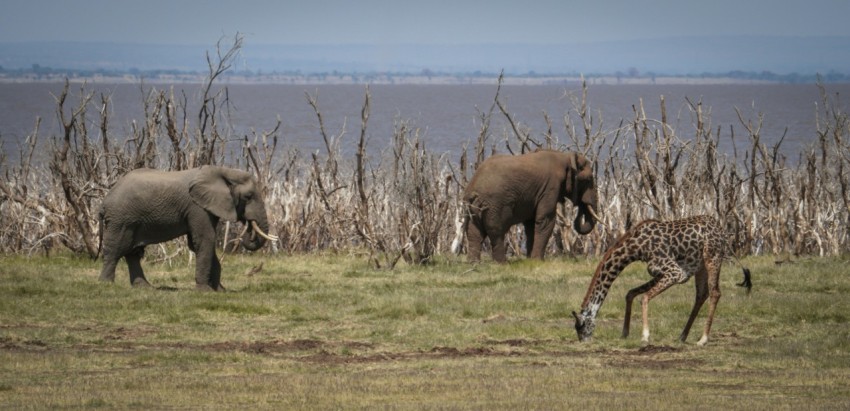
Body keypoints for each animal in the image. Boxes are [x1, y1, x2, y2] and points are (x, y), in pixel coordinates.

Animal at [96, 166, 276, 292]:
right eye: (248, 197)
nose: (248, 226)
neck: (224, 171)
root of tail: (104, 201)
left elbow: (200, 243)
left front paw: (220, 291)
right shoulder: (197, 207)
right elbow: (205, 240)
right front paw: (205, 291)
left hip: (131, 220)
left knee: (132, 252)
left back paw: (145, 288)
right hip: (121, 219)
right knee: (116, 249)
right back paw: (106, 285)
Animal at [458, 151, 596, 264]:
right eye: (588, 179)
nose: (580, 204)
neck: (565, 157)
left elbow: (530, 224)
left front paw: (530, 260)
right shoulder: (550, 188)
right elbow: (546, 221)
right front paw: (538, 261)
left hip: (473, 206)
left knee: (473, 232)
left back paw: (474, 263)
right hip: (495, 205)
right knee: (497, 231)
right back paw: (502, 263)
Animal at [568, 216, 748, 348]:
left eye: (581, 327)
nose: (584, 342)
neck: (635, 248)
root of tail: (723, 232)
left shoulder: (675, 272)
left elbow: (644, 297)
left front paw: (645, 337)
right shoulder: (661, 272)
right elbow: (630, 293)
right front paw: (624, 333)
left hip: (713, 257)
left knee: (715, 293)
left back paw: (702, 339)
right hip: (701, 266)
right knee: (701, 294)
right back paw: (682, 336)